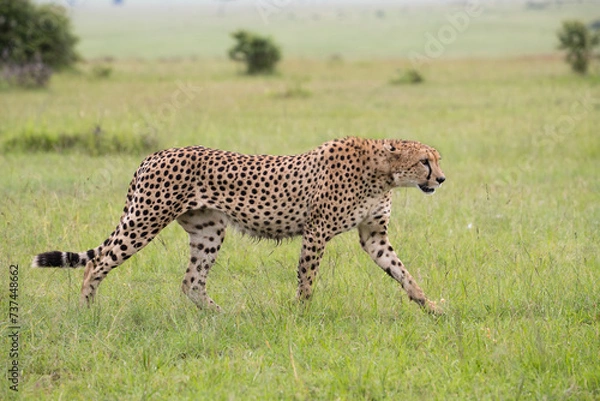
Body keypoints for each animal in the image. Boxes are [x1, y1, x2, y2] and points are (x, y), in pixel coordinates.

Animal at [32, 136, 446, 314]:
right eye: (425, 161)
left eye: (437, 160)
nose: (441, 179)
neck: (383, 172)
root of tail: (155, 153)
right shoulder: (316, 232)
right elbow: (307, 279)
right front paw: (302, 315)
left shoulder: (374, 236)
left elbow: (404, 273)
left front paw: (431, 307)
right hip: (145, 220)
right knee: (96, 264)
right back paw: (87, 311)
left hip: (209, 231)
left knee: (191, 283)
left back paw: (225, 316)